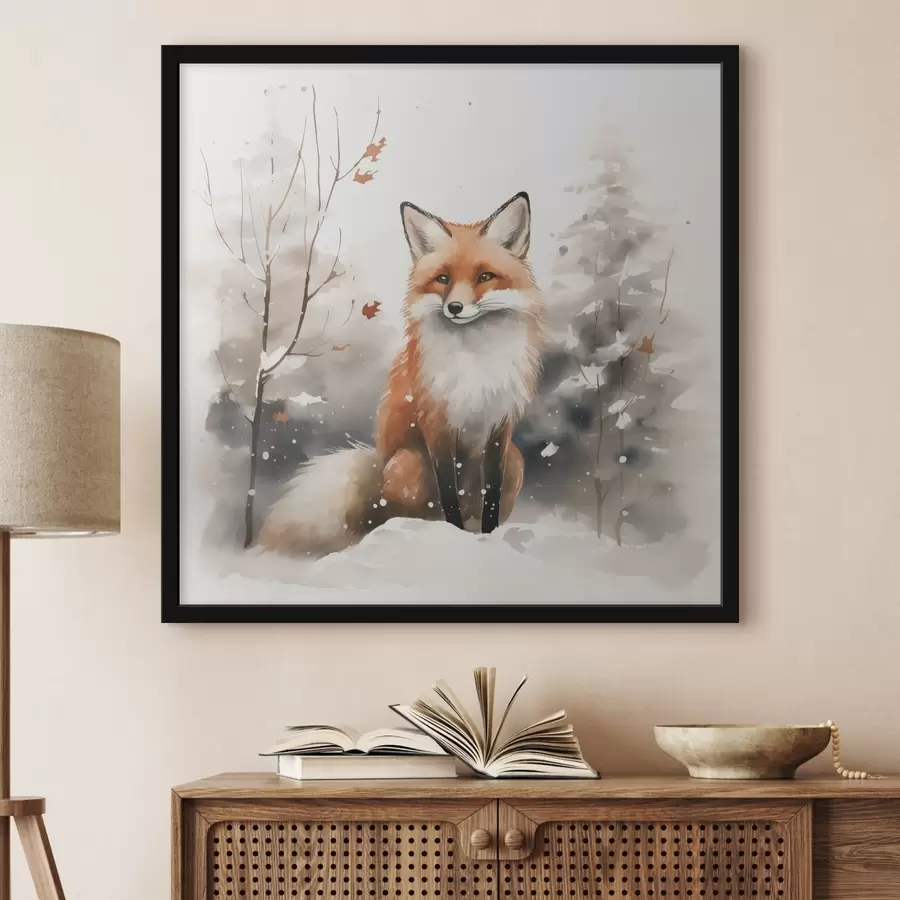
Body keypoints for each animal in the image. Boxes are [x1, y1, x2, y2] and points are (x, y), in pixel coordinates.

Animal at [258, 191, 546, 556]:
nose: (454, 308)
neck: (474, 359)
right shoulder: (437, 423)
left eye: (485, 277)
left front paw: (490, 537)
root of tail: (378, 466)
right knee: (400, 515)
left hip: (516, 460)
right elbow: (448, 493)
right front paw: (453, 537)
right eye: (443, 279)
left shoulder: (500, 426)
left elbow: (491, 496)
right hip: (407, 463)